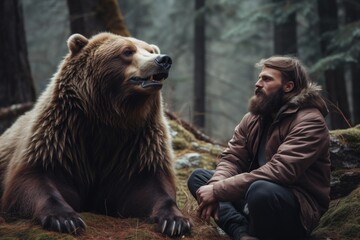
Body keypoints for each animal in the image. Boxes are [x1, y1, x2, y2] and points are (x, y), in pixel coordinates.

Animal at [0, 31, 191, 236]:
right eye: (127, 51)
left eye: (151, 50)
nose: (163, 59)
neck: (107, 118)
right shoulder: (59, 138)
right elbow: (34, 179)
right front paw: (65, 219)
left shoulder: (138, 144)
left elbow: (151, 186)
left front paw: (176, 221)